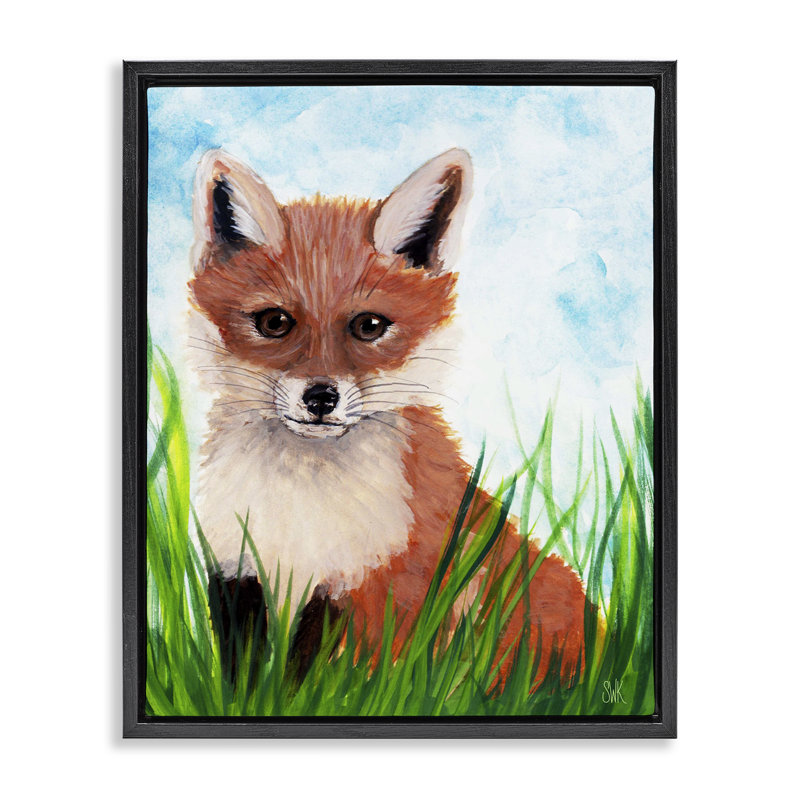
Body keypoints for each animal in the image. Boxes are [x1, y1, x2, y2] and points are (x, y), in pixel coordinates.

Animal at [187, 146, 588, 684]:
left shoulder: (377, 587)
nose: (320, 398)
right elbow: (250, 681)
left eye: (369, 325)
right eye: (274, 323)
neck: (304, 507)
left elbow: (333, 680)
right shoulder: (239, 574)